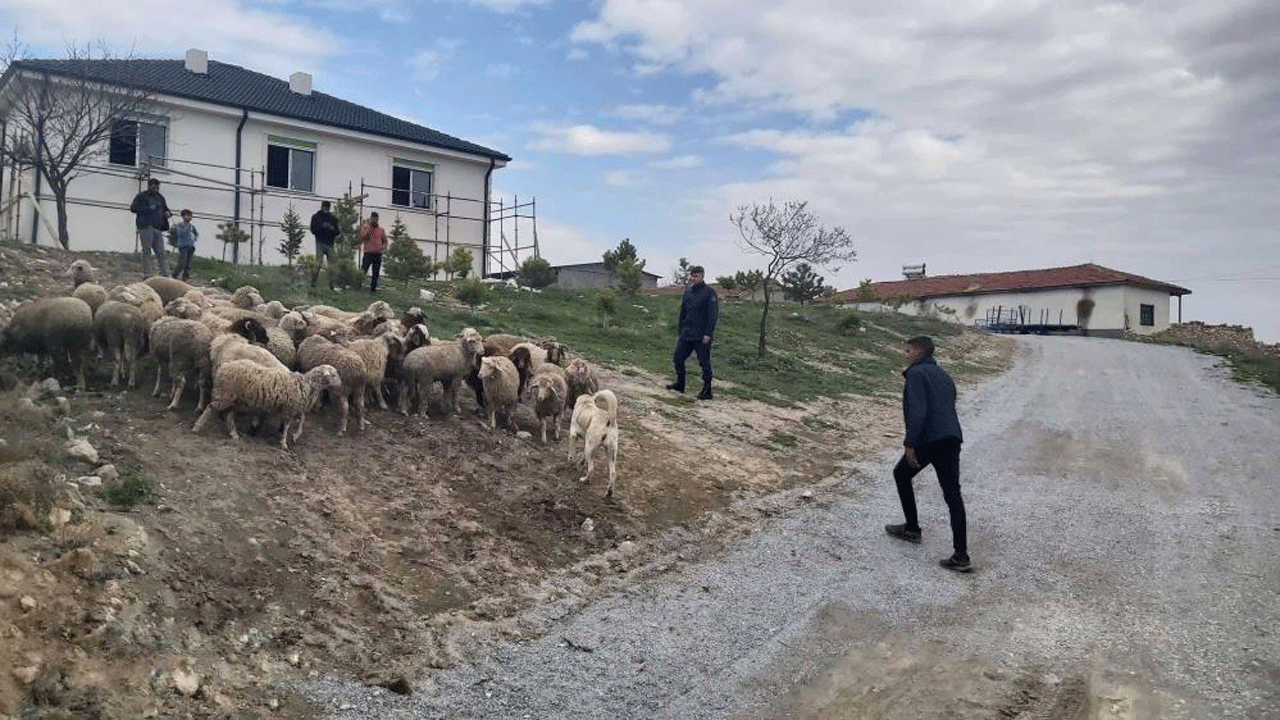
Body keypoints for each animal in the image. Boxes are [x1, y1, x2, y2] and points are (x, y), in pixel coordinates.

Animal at [189, 358, 340, 448]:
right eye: (333, 374)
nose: (340, 384)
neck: (307, 384)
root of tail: (224, 366)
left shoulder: (295, 407)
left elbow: (302, 420)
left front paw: (296, 436)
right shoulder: (289, 408)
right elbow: (287, 426)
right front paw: (284, 443)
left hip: (235, 399)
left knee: (229, 415)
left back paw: (234, 434)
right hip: (225, 394)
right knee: (210, 408)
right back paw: (197, 427)